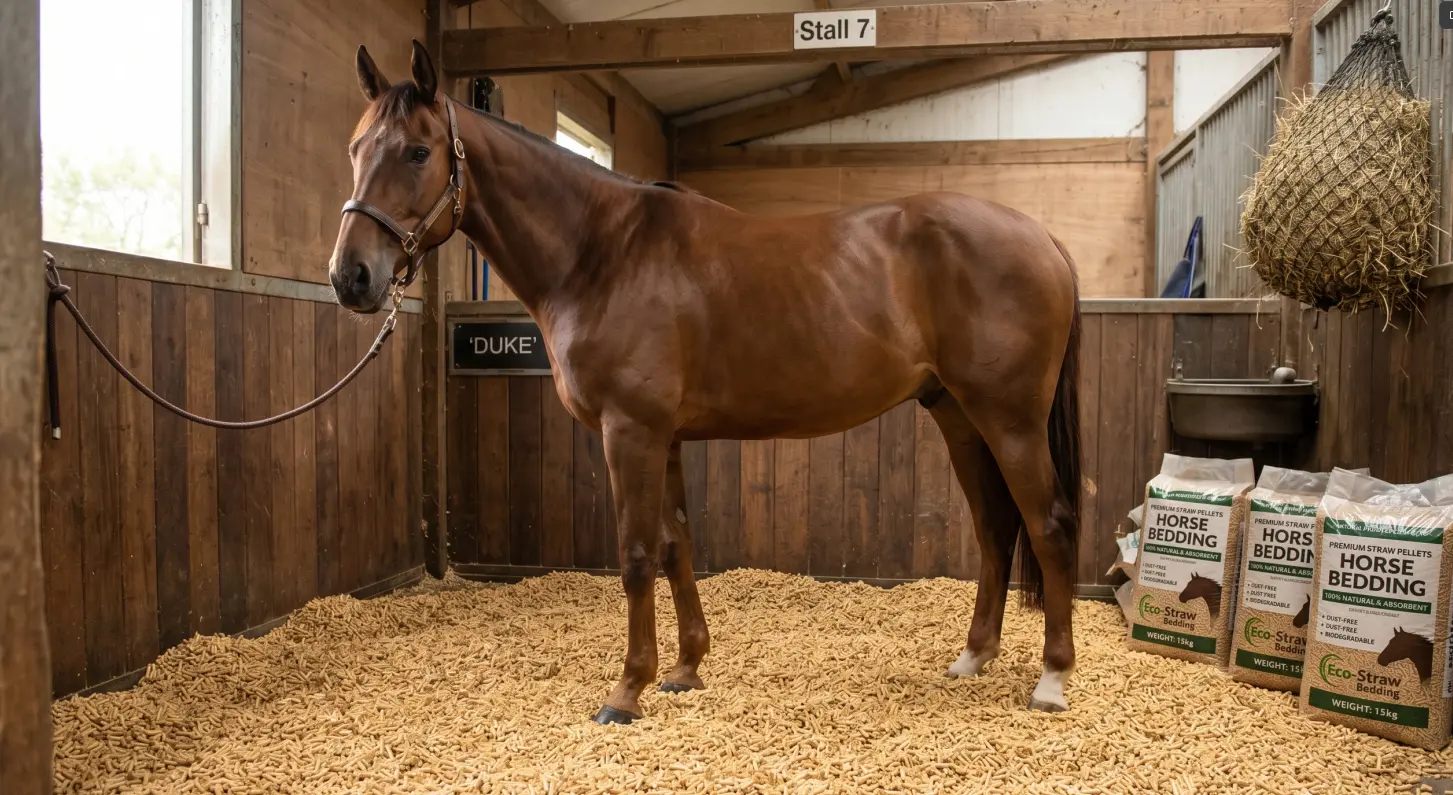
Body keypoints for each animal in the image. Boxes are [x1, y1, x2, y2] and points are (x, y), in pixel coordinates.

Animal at [330, 41, 1083, 724]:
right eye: (356, 148)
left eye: (417, 153)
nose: (351, 277)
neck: (602, 254)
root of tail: (1042, 237)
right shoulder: (662, 438)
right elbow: (675, 547)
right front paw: (685, 668)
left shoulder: (629, 433)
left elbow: (636, 555)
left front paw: (626, 690)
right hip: (958, 415)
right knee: (994, 528)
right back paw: (973, 655)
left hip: (1008, 418)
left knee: (1046, 525)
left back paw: (1051, 679)